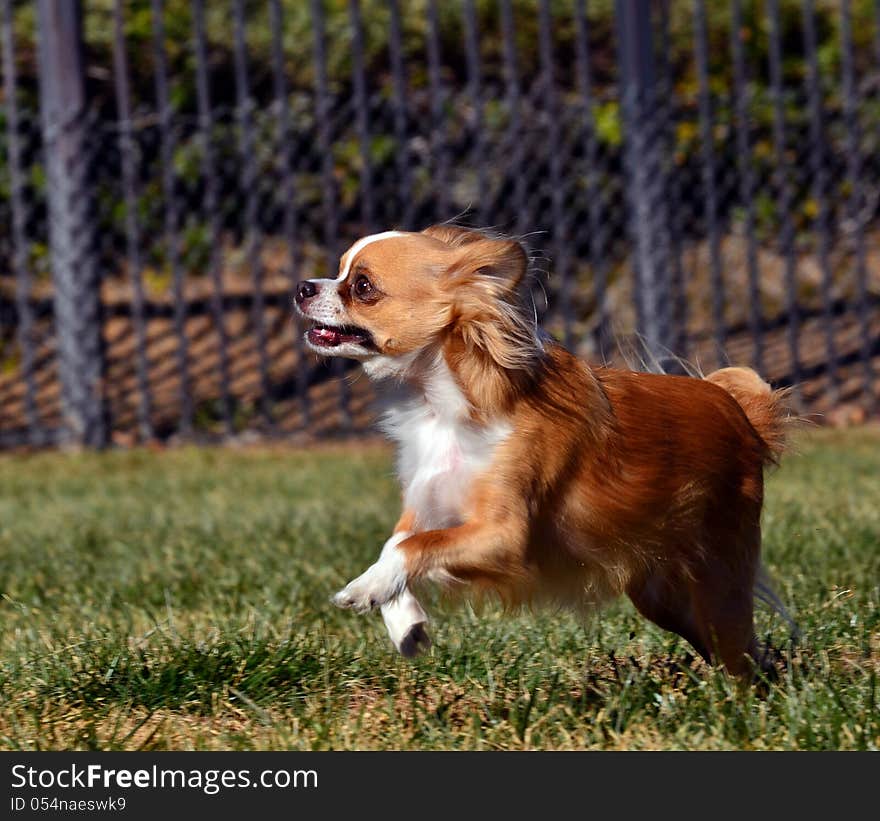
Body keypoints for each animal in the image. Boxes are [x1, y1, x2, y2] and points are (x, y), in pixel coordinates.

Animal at [294, 223, 792, 672]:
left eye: (362, 286)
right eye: (339, 269)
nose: (302, 287)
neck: (438, 405)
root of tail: (738, 410)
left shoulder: (504, 536)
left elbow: (413, 547)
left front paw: (365, 588)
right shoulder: (430, 502)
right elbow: (399, 541)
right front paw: (404, 620)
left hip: (717, 582)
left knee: (741, 658)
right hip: (663, 598)